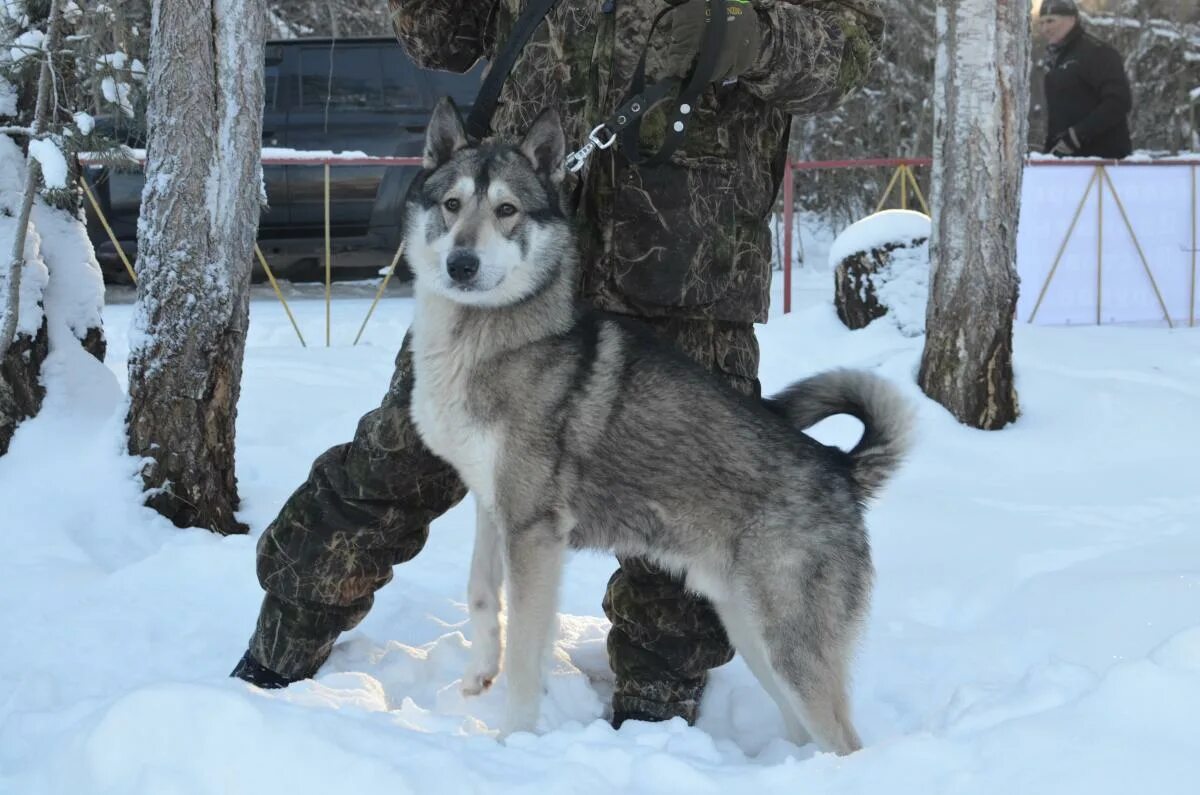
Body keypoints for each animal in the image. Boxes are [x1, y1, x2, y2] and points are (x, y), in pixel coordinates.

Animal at [408, 96, 912, 758]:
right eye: (451, 204)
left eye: (507, 210)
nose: (461, 264)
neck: (488, 339)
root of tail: (839, 466)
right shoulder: (495, 509)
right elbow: (481, 594)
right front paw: (478, 674)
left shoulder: (533, 533)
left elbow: (524, 655)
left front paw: (513, 740)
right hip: (752, 634)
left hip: (788, 646)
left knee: (845, 742)